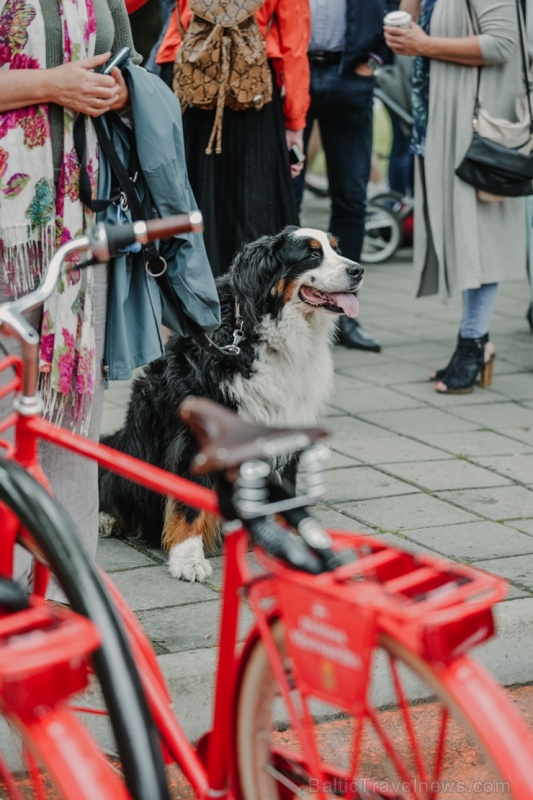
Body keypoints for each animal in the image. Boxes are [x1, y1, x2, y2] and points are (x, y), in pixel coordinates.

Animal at [98, 225, 364, 580]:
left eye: (337, 249)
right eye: (312, 253)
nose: (358, 270)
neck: (254, 334)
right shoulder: (195, 434)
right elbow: (190, 502)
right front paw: (188, 557)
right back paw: (107, 519)